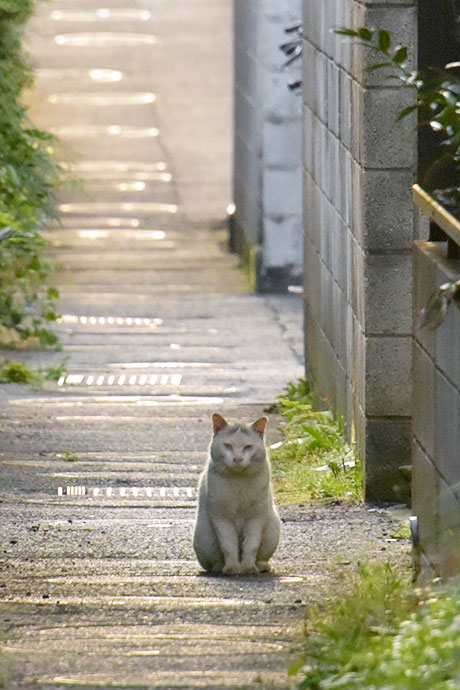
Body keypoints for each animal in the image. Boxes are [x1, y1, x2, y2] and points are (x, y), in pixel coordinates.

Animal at [191, 412, 280, 572]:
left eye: (248, 447)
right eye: (227, 446)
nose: (237, 458)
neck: (238, 480)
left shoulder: (256, 517)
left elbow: (251, 545)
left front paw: (248, 567)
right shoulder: (221, 517)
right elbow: (228, 544)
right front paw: (232, 568)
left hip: (272, 529)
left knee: (261, 557)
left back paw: (261, 566)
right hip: (203, 536)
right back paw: (220, 567)